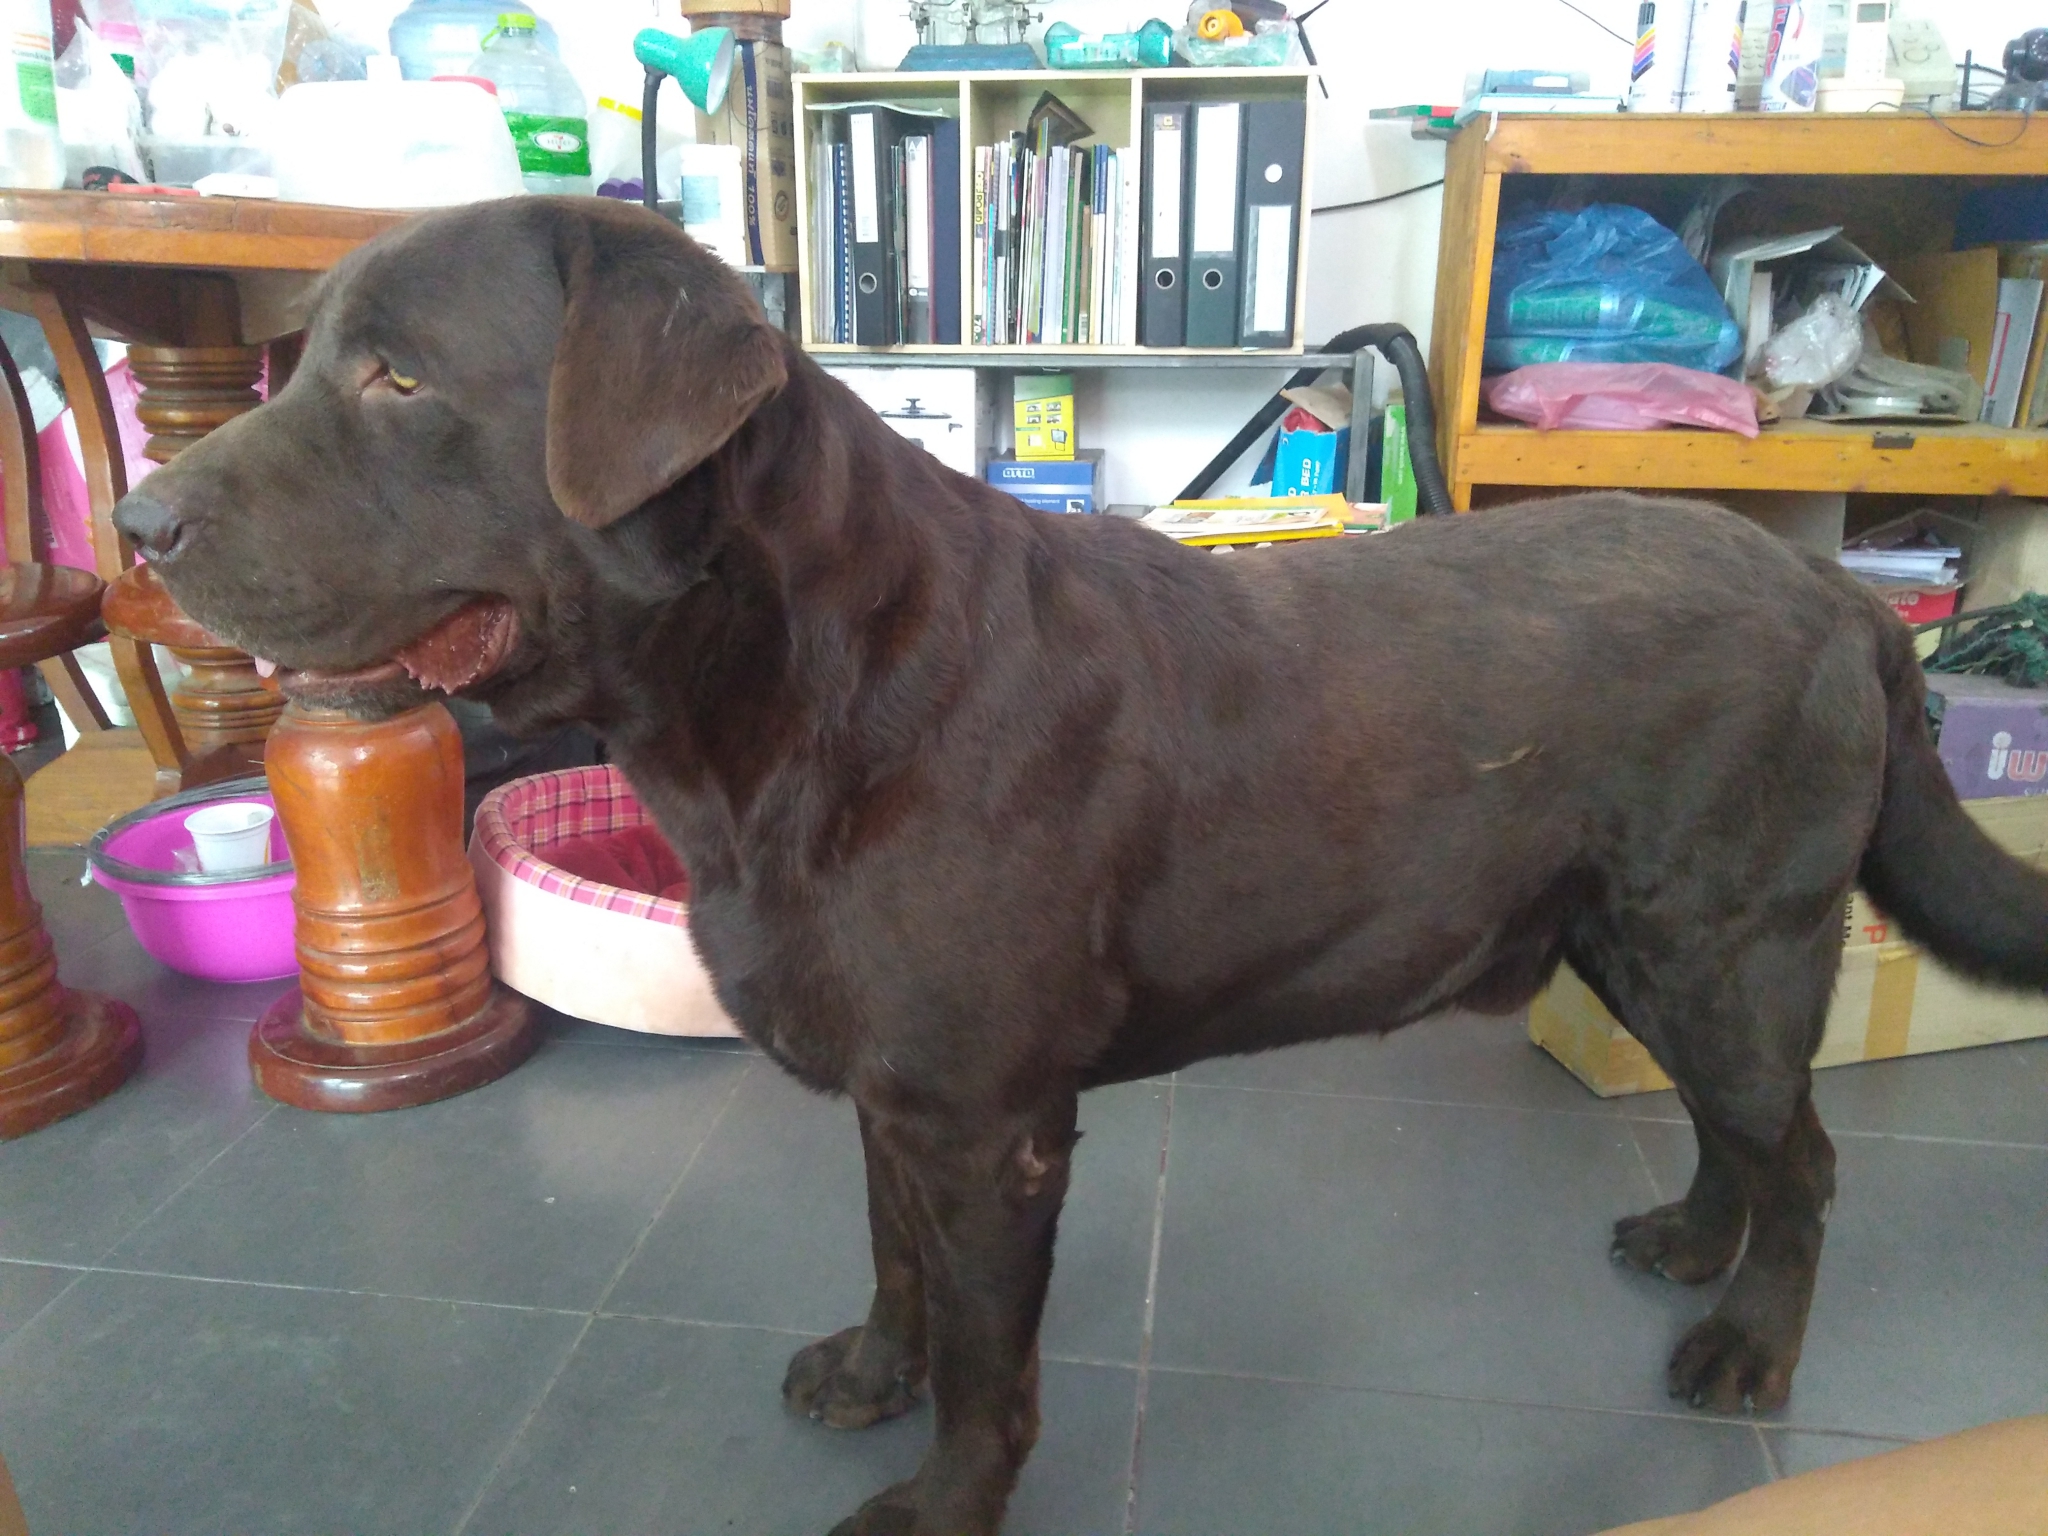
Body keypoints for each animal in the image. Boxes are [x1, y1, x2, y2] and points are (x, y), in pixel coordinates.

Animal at [114, 198, 2048, 1536]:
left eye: (399, 377)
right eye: (304, 359)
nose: (139, 522)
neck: (794, 683)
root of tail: (1836, 595)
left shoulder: (990, 1123)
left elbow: (991, 1362)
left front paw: (939, 1501)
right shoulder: (896, 1095)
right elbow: (893, 1260)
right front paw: (871, 1369)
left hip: (1727, 940)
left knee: (1803, 1158)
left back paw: (1749, 1345)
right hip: (1637, 941)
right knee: (1739, 1138)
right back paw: (1694, 1245)